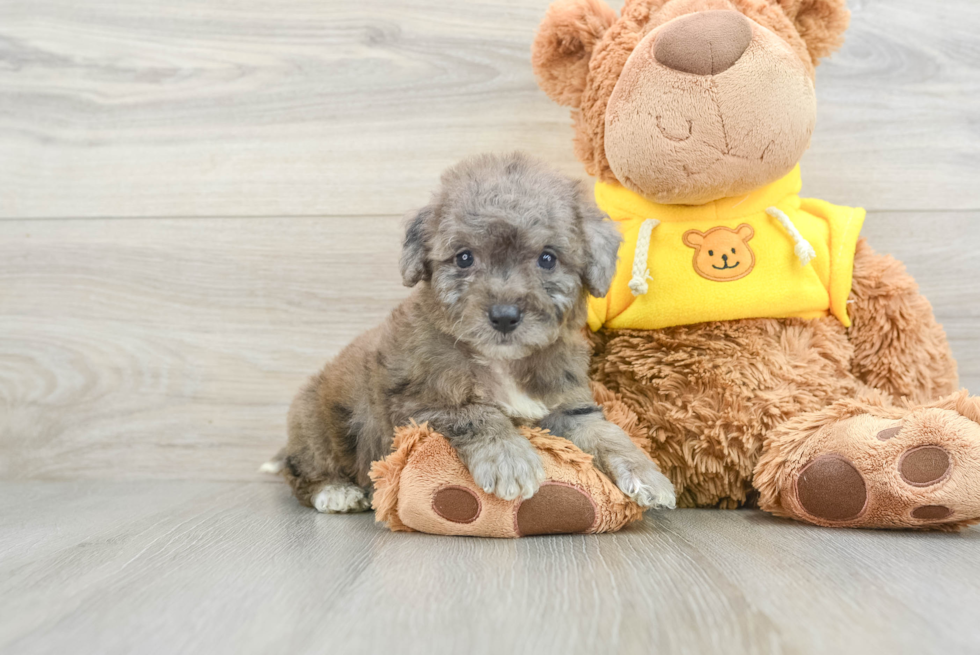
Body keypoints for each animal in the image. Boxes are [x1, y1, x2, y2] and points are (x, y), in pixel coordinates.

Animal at [264, 152, 676, 512]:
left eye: (547, 259)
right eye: (464, 258)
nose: (505, 316)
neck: (502, 362)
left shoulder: (566, 404)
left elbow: (605, 432)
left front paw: (646, 473)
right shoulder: (417, 405)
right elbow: (476, 413)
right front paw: (509, 458)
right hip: (318, 426)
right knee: (301, 472)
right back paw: (335, 492)